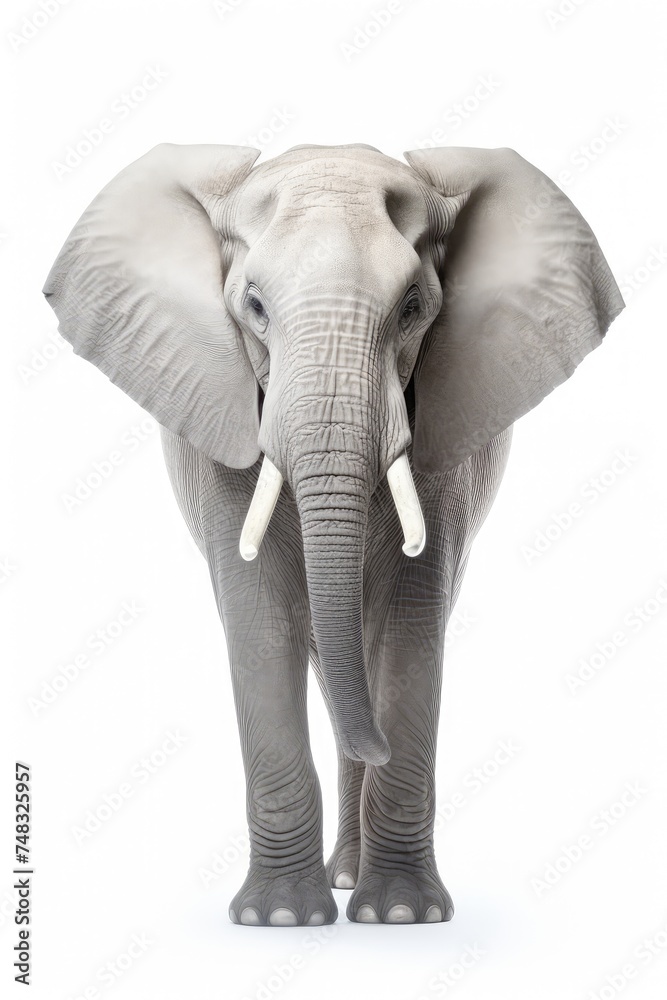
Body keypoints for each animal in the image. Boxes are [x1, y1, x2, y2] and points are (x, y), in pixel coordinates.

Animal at [43, 142, 624, 926]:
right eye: (254, 307)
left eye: (413, 309)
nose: (375, 749)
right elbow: (259, 619)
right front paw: (281, 918)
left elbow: (410, 624)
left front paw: (401, 916)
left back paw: (355, 882)